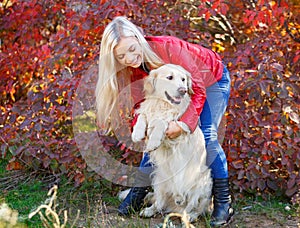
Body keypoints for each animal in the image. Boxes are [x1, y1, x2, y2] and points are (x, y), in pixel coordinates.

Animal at [132, 63, 213, 221]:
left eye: (183, 79)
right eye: (169, 77)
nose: (183, 90)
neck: (163, 105)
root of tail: (177, 204)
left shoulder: (176, 127)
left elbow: (160, 122)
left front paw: (154, 141)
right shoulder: (148, 112)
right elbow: (143, 116)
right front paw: (137, 133)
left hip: (202, 183)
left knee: (196, 207)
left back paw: (189, 217)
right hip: (159, 179)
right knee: (159, 203)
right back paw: (149, 210)